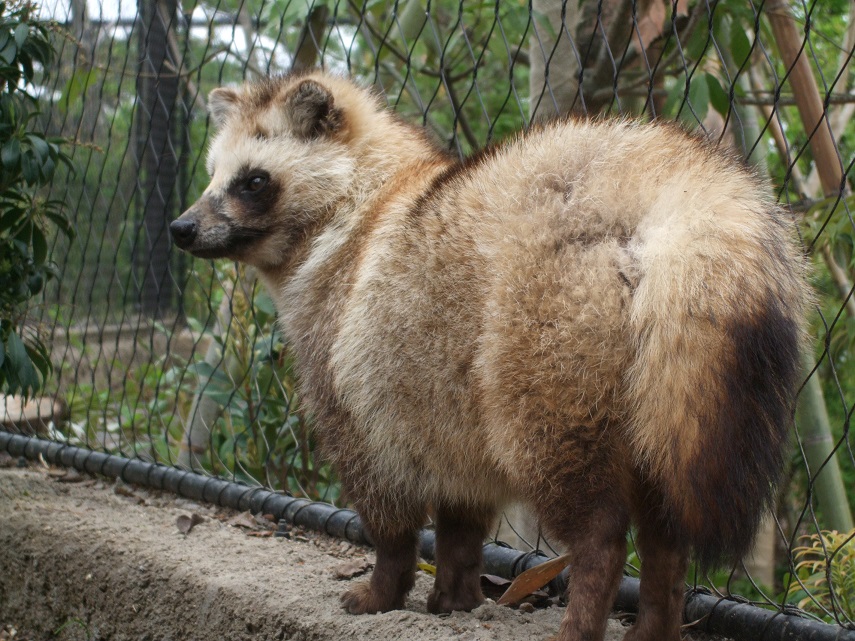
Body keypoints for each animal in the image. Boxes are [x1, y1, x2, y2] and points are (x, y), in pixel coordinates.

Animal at [172, 72, 808, 640]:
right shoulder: (436, 400)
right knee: (665, 519)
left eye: (252, 182)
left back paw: (584, 611)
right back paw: (655, 617)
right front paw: (454, 592)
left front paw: (385, 585)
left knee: (594, 521)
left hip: (543, 344)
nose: (180, 227)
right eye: (211, 176)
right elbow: (460, 507)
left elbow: (387, 504)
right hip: (659, 385)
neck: (368, 194)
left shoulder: (349, 373)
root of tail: (661, 183)